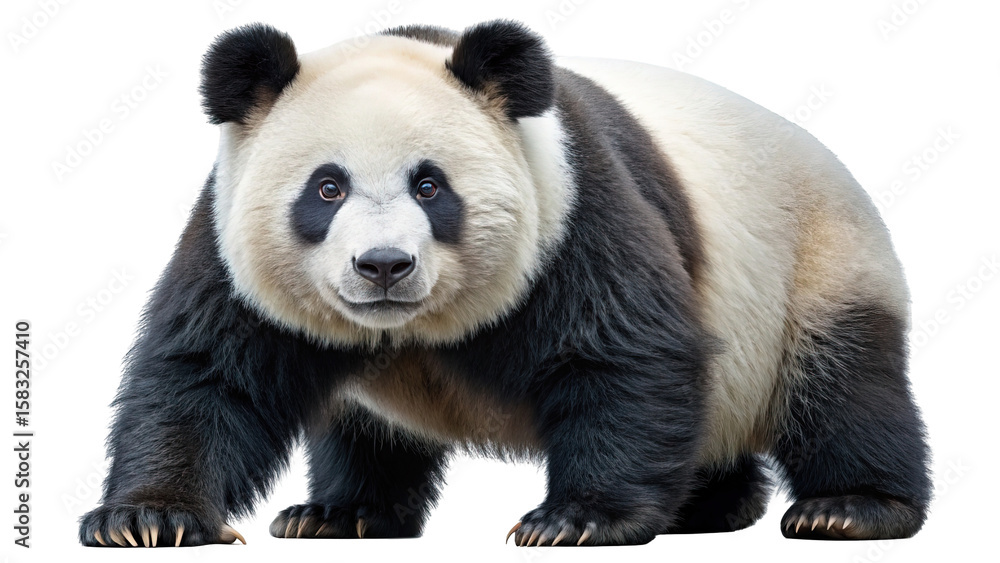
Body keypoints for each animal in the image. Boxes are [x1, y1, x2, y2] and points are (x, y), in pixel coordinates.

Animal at [79, 20, 930, 547]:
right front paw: (147, 517)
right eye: (327, 188)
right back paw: (340, 511)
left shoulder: (573, 209)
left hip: (817, 263)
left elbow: (622, 351)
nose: (383, 265)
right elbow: (207, 374)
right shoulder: (229, 238)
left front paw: (577, 519)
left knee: (845, 389)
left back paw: (849, 509)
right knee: (364, 430)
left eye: (430, 185)